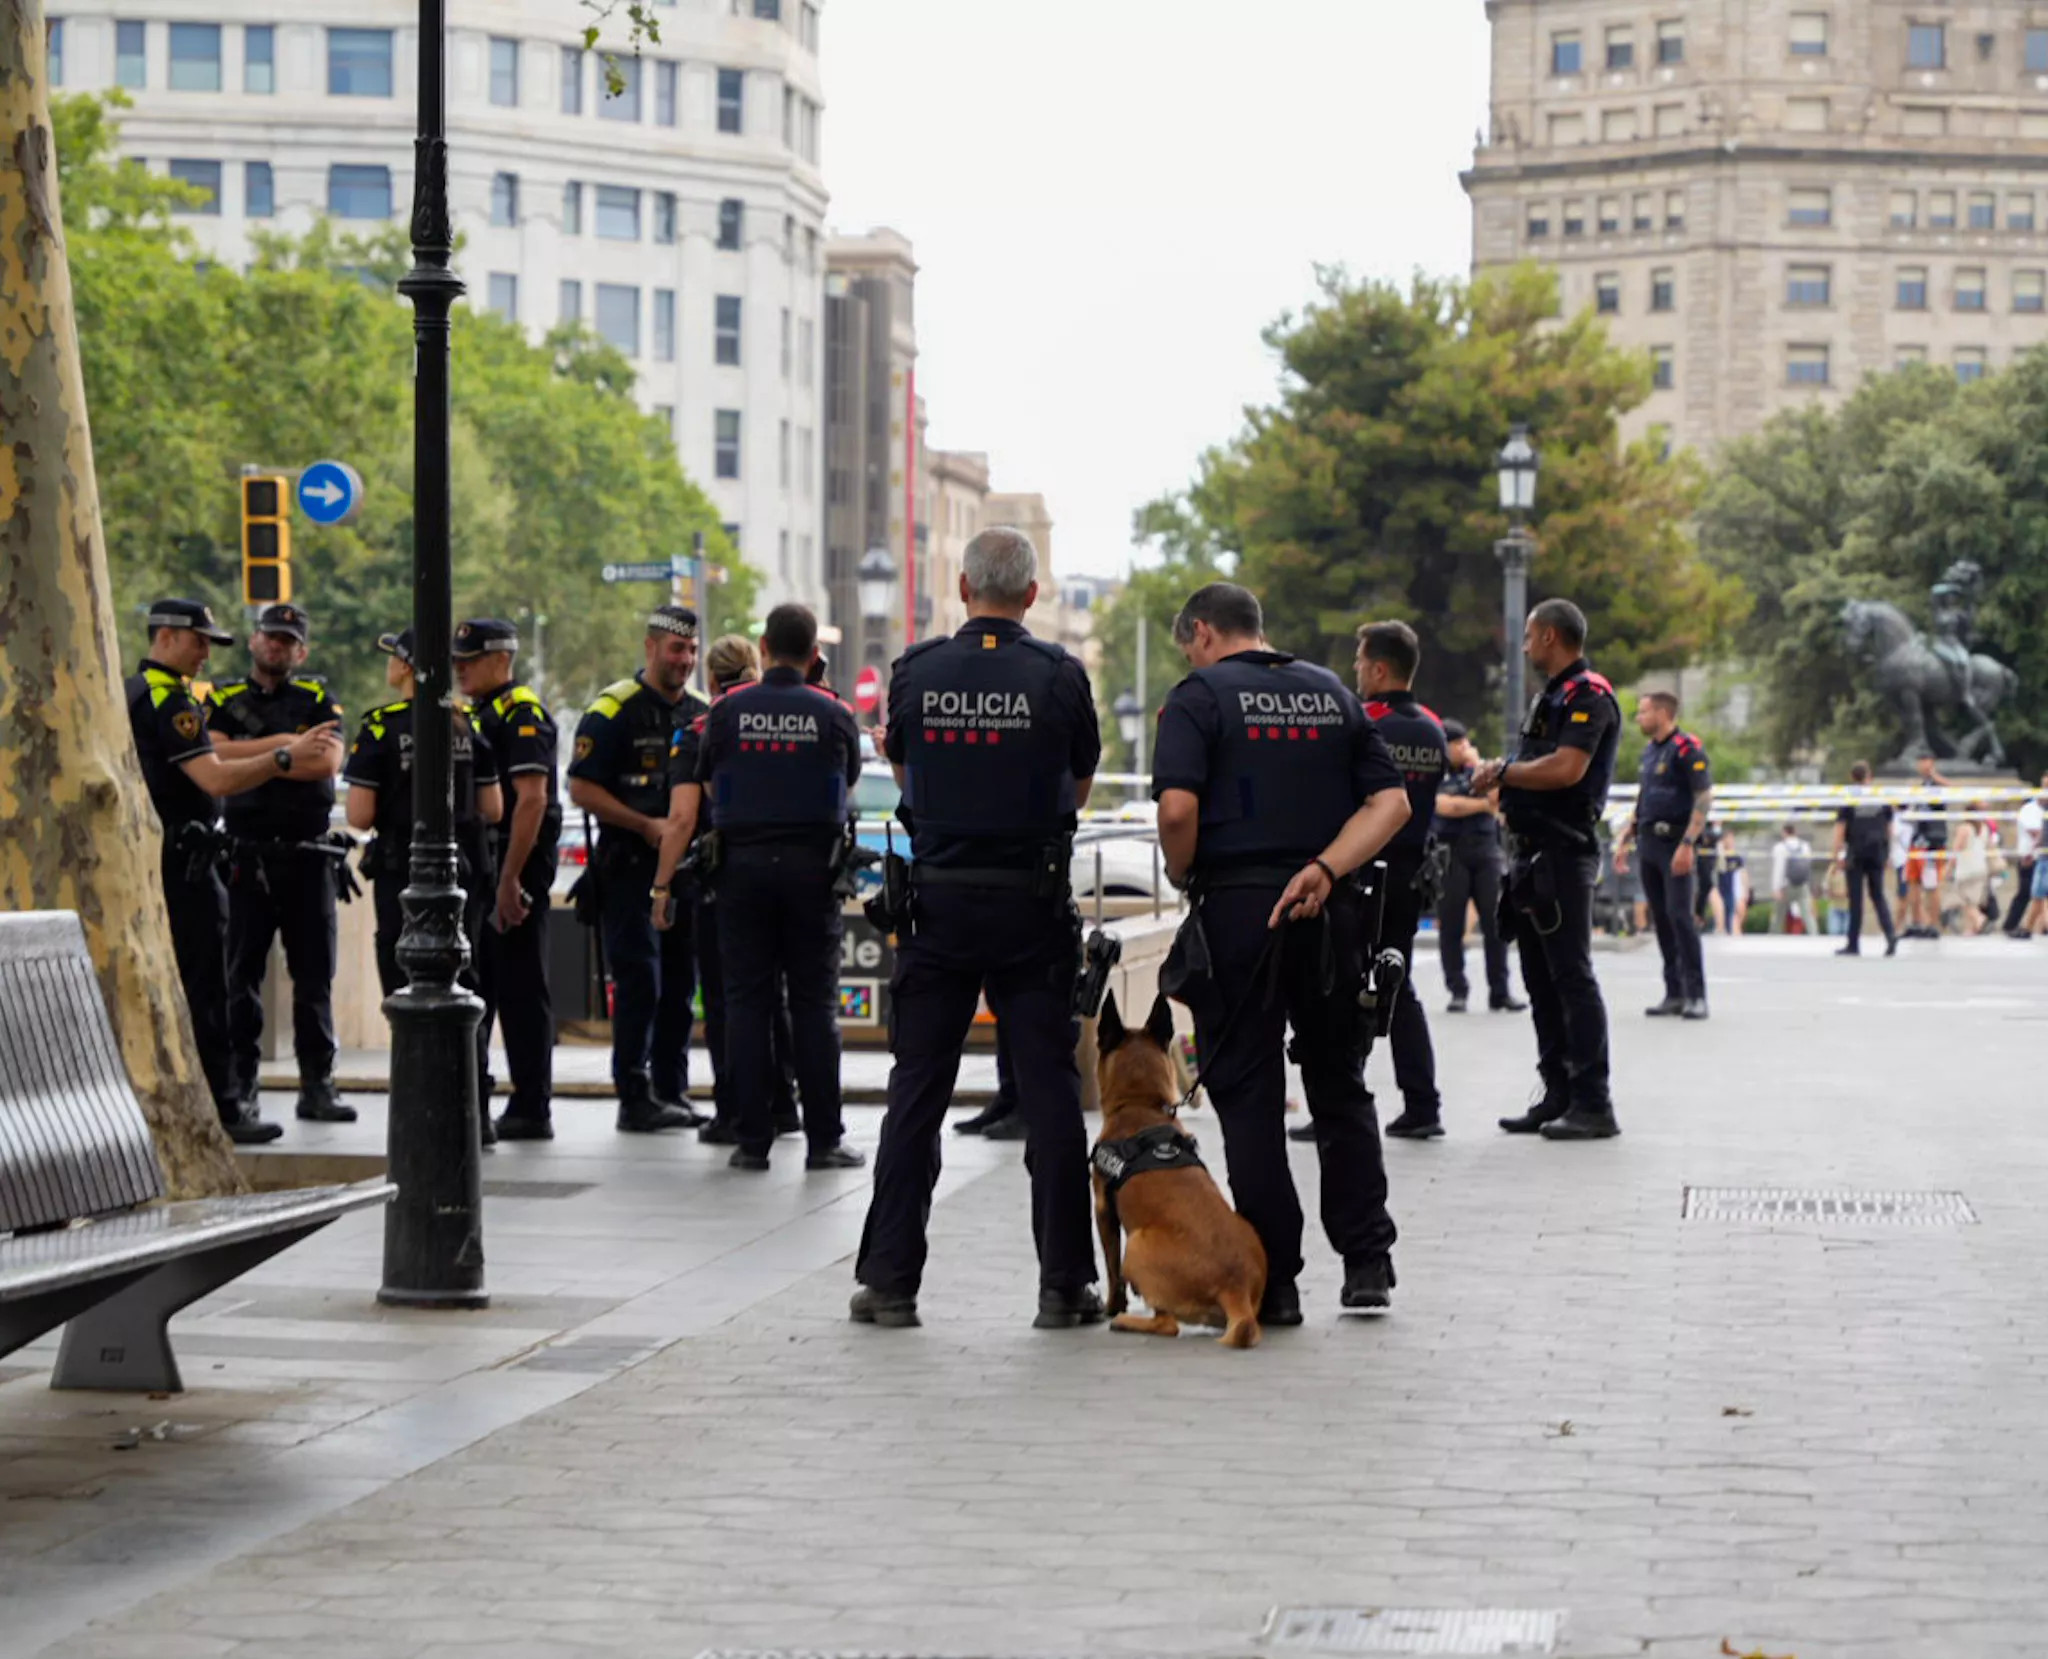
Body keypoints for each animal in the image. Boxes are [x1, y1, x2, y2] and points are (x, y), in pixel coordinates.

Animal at [1089, 987, 1261, 1335]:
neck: (1140, 1105)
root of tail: (1234, 1286)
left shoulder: (1103, 1208)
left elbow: (1112, 1268)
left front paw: (1114, 1306)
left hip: (1136, 1245)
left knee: (1167, 1324)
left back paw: (1126, 1321)